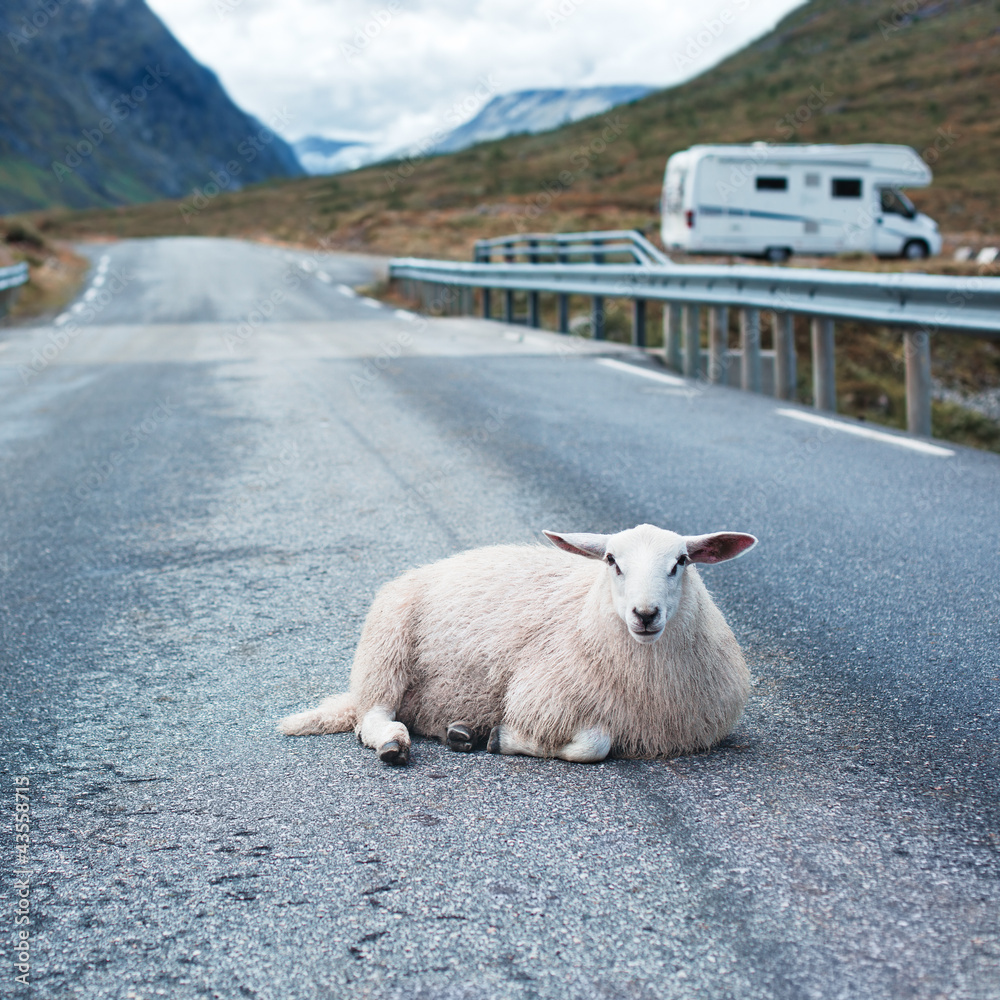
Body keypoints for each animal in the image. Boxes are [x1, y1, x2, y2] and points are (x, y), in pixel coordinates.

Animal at [278, 523, 757, 765]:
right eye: (611, 561)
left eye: (681, 562)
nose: (645, 614)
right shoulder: (540, 697)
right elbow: (595, 744)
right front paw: (502, 738)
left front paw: (485, 736)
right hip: (386, 646)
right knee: (373, 717)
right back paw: (395, 743)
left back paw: (461, 731)